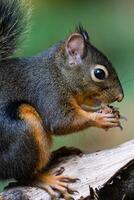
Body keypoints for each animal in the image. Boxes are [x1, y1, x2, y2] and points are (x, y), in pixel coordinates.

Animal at [0, 0, 124, 200]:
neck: (59, 73)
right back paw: (47, 179)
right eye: (99, 73)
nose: (120, 97)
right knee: (22, 176)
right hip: (23, 129)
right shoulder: (49, 92)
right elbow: (61, 122)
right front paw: (101, 118)